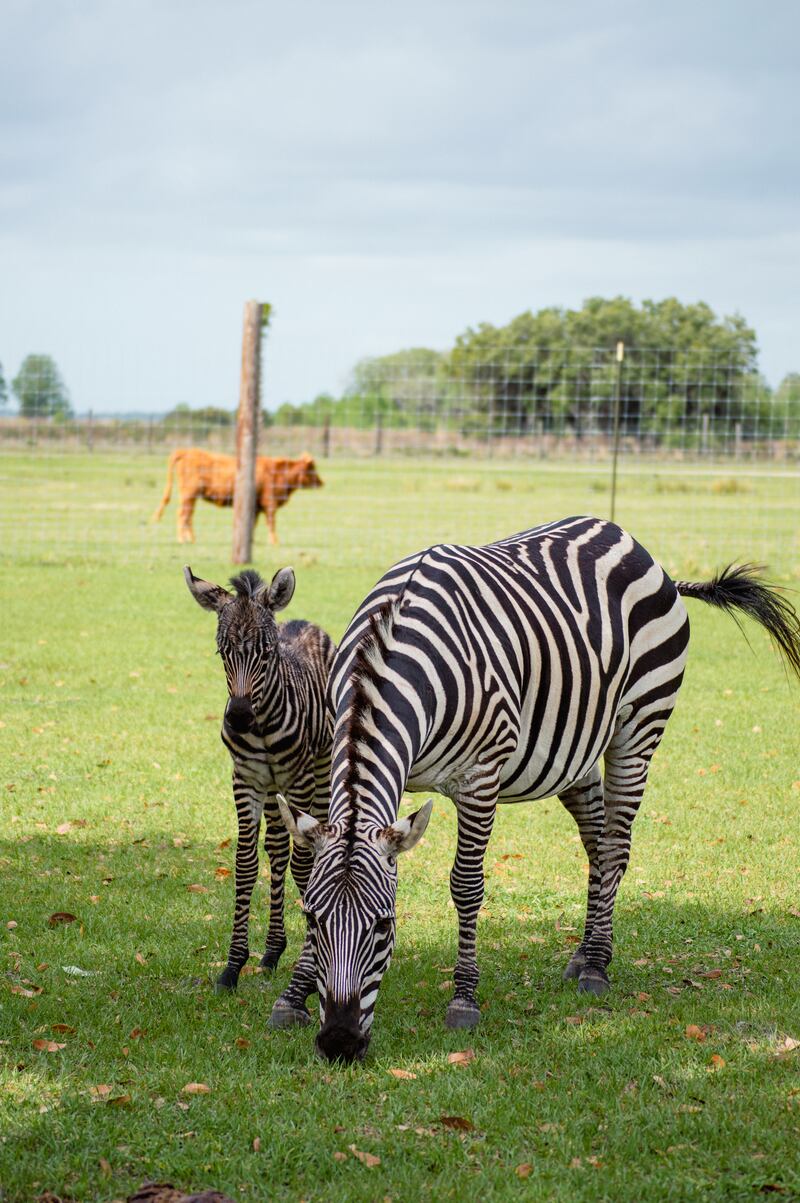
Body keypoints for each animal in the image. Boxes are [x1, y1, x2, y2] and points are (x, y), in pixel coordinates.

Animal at [152, 452, 322, 546]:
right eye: (312, 469)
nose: (322, 482)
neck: (278, 472)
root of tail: (186, 451)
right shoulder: (270, 504)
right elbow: (271, 524)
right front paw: (275, 542)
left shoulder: (256, 507)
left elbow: (253, 524)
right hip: (189, 495)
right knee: (183, 515)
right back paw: (182, 539)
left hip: (191, 497)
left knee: (188, 516)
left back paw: (191, 539)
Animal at [184, 565, 334, 1024]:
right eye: (222, 652)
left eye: (266, 654)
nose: (238, 717)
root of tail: (301, 622)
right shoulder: (246, 781)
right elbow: (248, 863)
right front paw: (233, 967)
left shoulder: (300, 779)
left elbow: (305, 864)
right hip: (272, 790)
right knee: (278, 850)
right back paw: (271, 951)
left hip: (319, 772)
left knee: (309, 847)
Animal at [279, 517, 798, 1063]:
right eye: (311, 920)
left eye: (384, 925)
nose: (339, 1042)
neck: (387, 660)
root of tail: (634, 544)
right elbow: (308, 874)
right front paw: (292, 996)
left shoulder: (479, 778)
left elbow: (466, 885)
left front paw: (464, 1000)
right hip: (577, 751)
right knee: (597, 843)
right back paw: (584, 954)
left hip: (639, 726)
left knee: (616, 845)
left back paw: (597, 968)